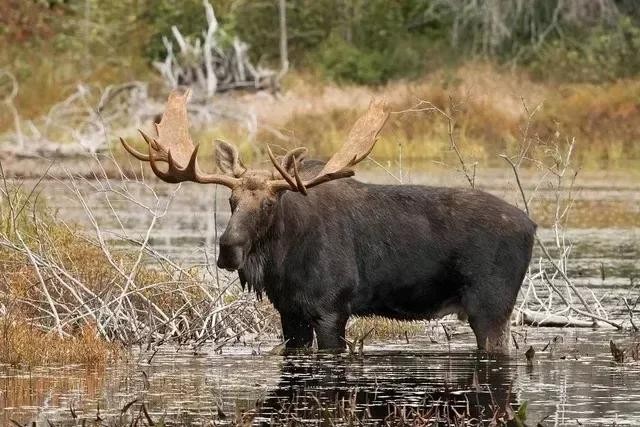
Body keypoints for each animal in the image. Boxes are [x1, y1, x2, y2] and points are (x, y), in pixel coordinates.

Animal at [120, 89, 536, 352]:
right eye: (231, 200)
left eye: (270, 203)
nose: (228, 249)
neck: (284, 264)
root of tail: (531, 226)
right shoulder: (290, 312)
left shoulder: (332, 307)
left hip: (490, 305)